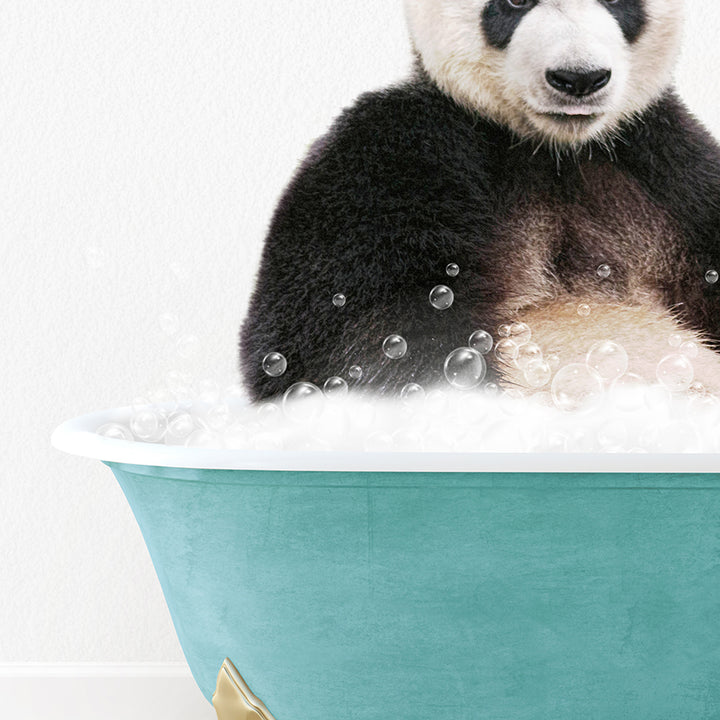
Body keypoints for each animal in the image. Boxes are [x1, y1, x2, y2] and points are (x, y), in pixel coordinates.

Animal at [239, 0, 720, 402]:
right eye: (515, 2)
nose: (578, 78)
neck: (552, 150)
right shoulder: (396, 156)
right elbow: (334, 339)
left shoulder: (668, 164)